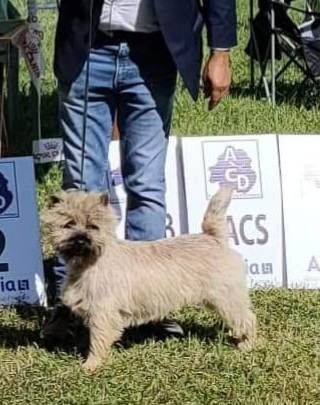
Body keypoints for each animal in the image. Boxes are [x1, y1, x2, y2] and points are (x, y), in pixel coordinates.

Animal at [43, 185, 256, 370]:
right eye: (69, 224)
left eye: (93, 226)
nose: (80, 240)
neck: (91, 262)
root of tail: (213, 238)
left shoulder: (102, 312)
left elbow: (98, 340)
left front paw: (91, 365)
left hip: (226, 297)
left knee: (248, 318)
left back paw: (248, 345)